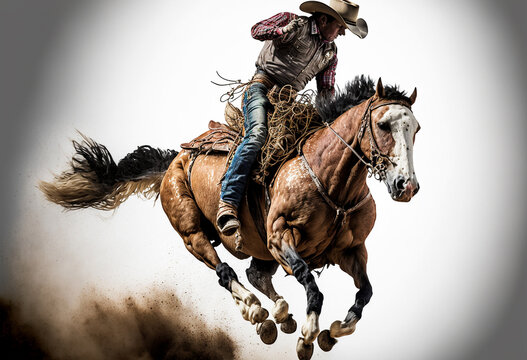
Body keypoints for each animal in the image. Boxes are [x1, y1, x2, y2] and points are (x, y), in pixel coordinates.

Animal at [40, 75, 420, 358]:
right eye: (383, 124)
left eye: (416, 129)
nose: (406, 185)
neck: (330, 180)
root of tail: (175, 158)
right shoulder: (280, 236)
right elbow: (311, 285)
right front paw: (309, 335)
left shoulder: (352, 250)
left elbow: (365, 292)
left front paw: (334, 331)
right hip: (192, 233)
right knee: (226, 272)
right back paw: (259, 314)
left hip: (257, 249)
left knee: (254, 273)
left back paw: (279, 315)